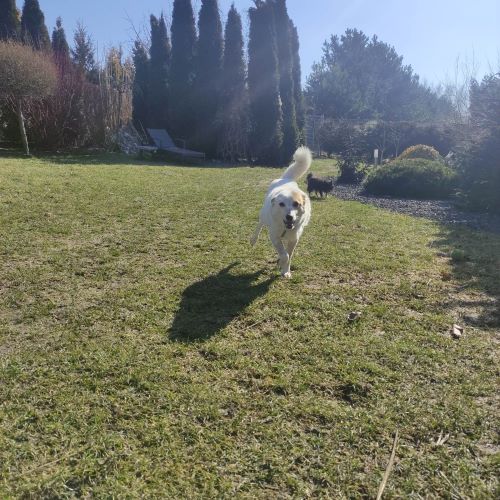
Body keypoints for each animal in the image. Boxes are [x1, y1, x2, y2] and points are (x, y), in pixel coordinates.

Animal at [250, 147, 312, 278]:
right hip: (263, 216)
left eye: (296, 204)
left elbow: (289, 255)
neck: (285, 228)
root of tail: (286, 179)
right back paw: (253, 239)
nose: (289, 217)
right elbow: (285, 255)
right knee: (259, 225)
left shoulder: (294, 239)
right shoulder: (274, 236)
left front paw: (286, 271)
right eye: (281, 204)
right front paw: (281, 263)